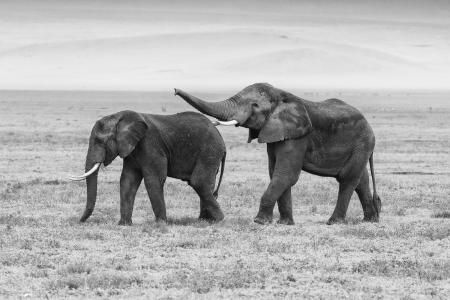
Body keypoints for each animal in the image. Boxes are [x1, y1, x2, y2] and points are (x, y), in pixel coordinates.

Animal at [69, 110, 227, 225]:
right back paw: (205, 220)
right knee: (206, 184)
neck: (120, 117)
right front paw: (123, 224)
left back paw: (218, 220)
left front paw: (161, 224)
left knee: (198, 182)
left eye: (100, 141)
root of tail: (220, 137)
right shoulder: (131, 150)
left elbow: (153, 180)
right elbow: (127, 181)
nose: (79, 221)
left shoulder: (150, 145)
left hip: (209, 150)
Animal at [174, 82, 382, 225]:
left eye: (255, 105)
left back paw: (333, 222)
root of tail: (369, 124)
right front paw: (285, 223)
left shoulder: (297, 136)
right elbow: (276, 172)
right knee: (361, 179)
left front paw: (260, 222)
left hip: (363, 142)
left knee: (348, 178)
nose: (175, 90)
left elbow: (286, 174)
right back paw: (370, 220)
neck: (282, 95)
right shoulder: (276, 134)